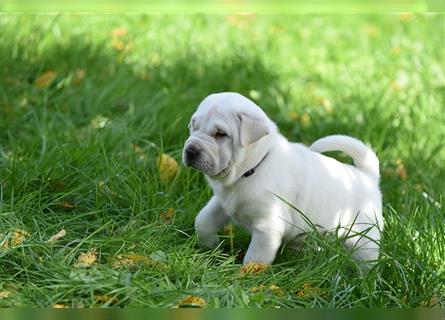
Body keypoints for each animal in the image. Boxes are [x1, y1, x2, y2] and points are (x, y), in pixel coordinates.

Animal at [181, 92, 382, 268]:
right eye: (194, 126)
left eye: (221, 134)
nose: (190, 150)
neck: (251, 170)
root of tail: (368, 176)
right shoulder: (222, 203)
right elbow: (203, 220)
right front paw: (208, 245)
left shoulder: (268, 225)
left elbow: (254, 258)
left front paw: (246, 277)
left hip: (364, 236)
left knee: (366, 258)